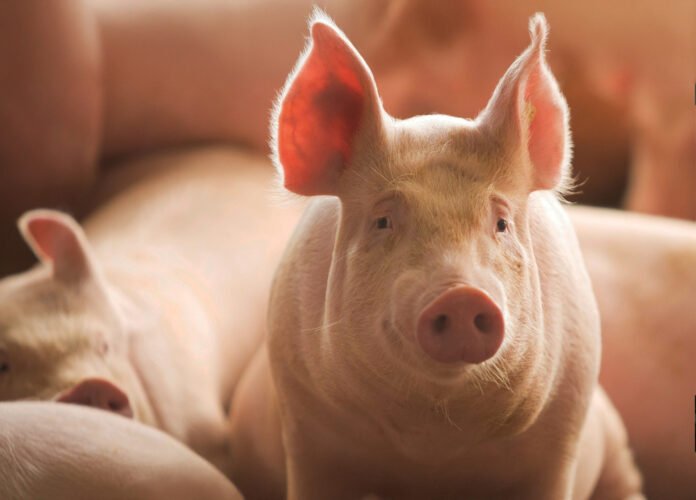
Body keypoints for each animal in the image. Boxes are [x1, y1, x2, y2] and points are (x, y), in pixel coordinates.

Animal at [236, 11, 644, 499]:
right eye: (383, 221)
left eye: (501, 223)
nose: (462, 294)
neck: (433, 441)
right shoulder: (307, 430)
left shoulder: (562, 429)